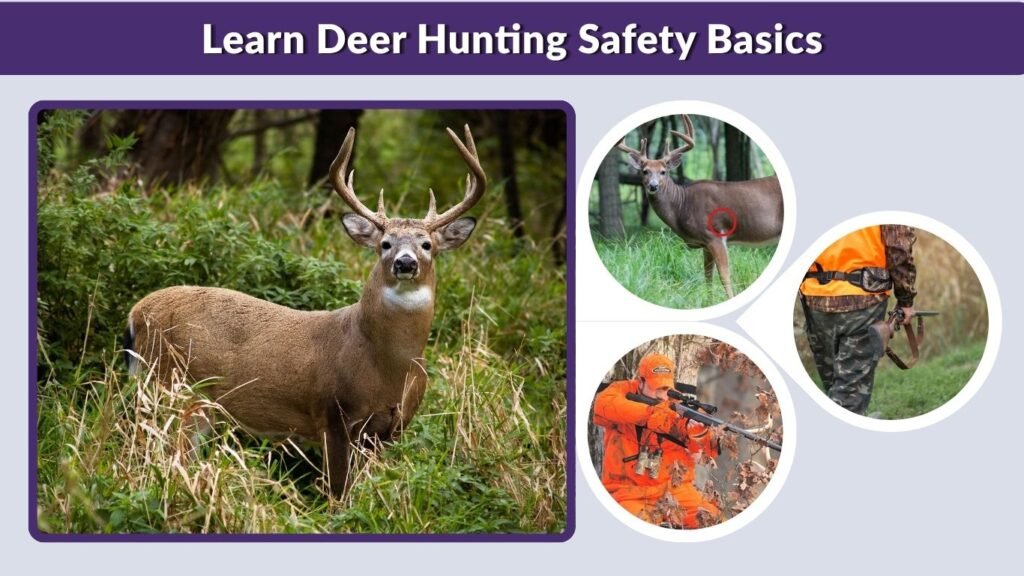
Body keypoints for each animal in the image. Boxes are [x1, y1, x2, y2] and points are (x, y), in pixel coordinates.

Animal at [124, 124, 486, 498]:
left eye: (426, 244)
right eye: (385, 244)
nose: (405, 262)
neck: (388, 366)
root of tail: (135, 314)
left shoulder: (391, 428)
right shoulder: (332, 413)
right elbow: (339, 492)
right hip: (170, 384)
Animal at [616, 115, 783, 299]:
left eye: (663, 172)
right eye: (645, 171)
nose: (653, 186)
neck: (683, 206)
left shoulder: (715, 234)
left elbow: (724, 276)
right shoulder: (705, 243)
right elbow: (708, 276)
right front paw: (708, 301)